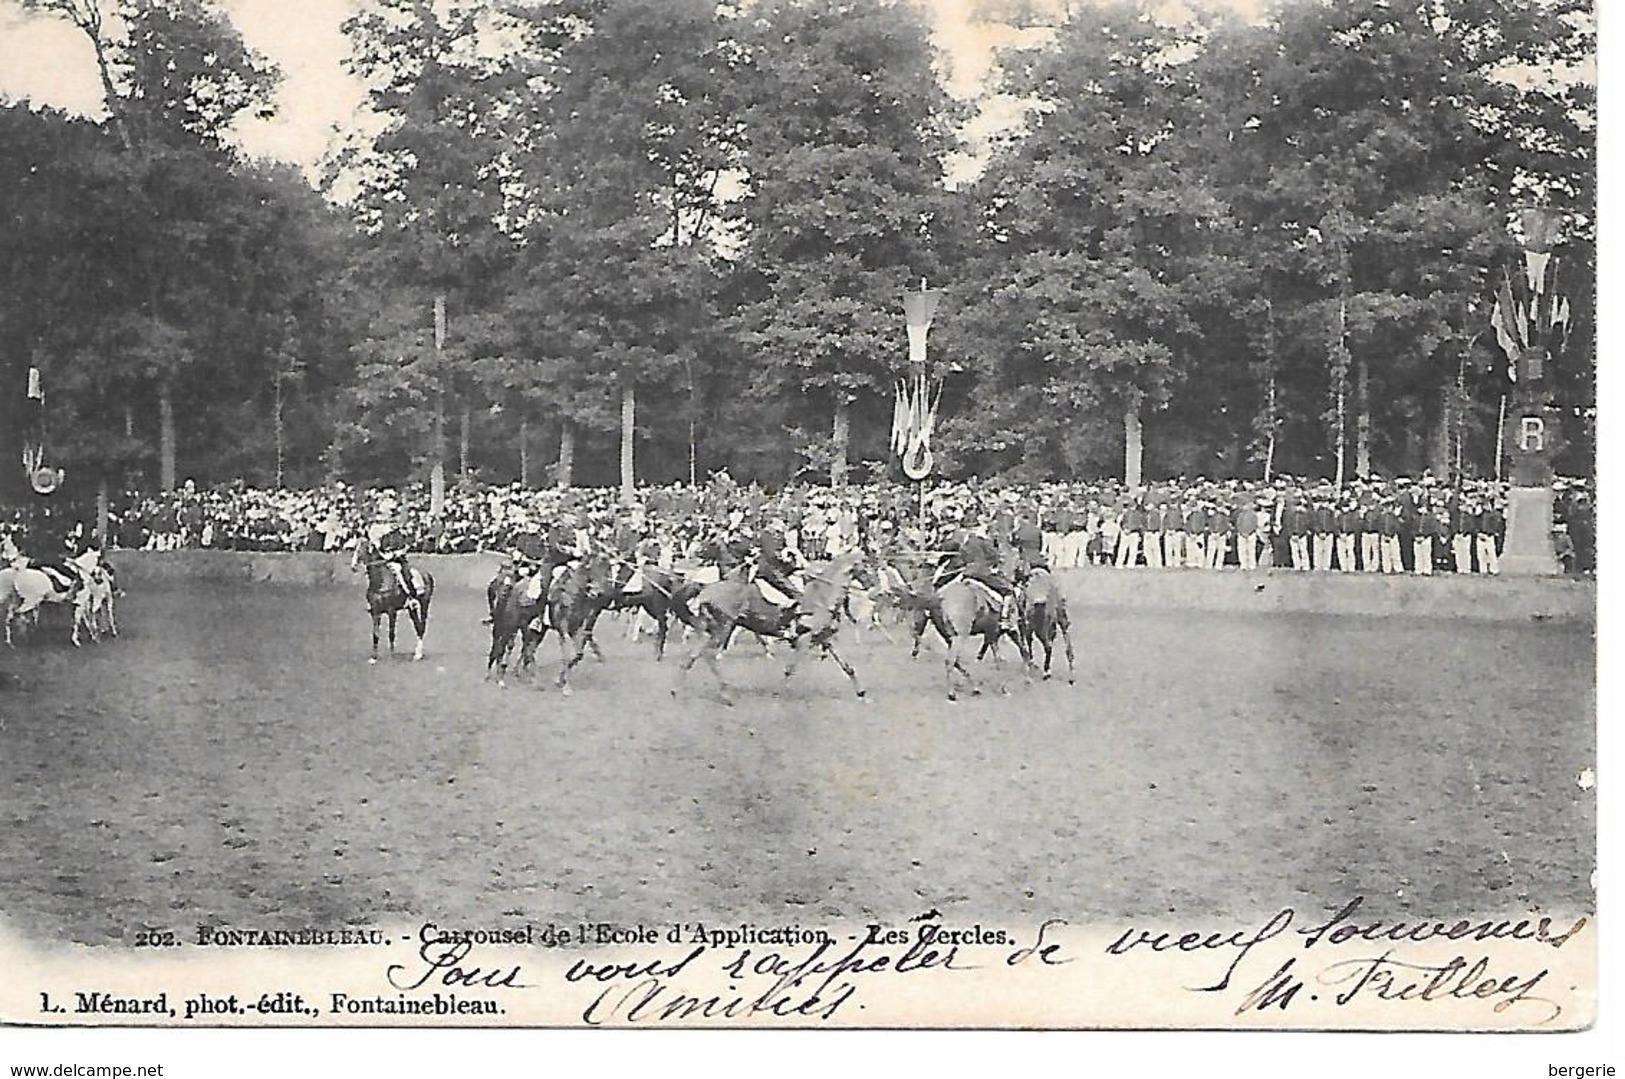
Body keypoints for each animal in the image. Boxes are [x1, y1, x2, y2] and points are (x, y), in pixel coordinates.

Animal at [676, 549, 871, 708]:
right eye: (867, 566)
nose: (872, 587)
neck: (821, 598)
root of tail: (705, 589)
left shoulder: (825, 639)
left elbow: (848, 667)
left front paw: (861, 694)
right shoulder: (804, 640)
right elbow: (790, 669)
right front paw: (778, 695)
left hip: (712, 630)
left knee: (695, 654)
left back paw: (678, 690)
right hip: (722, 628)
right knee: (708, 655)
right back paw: (725, 693)